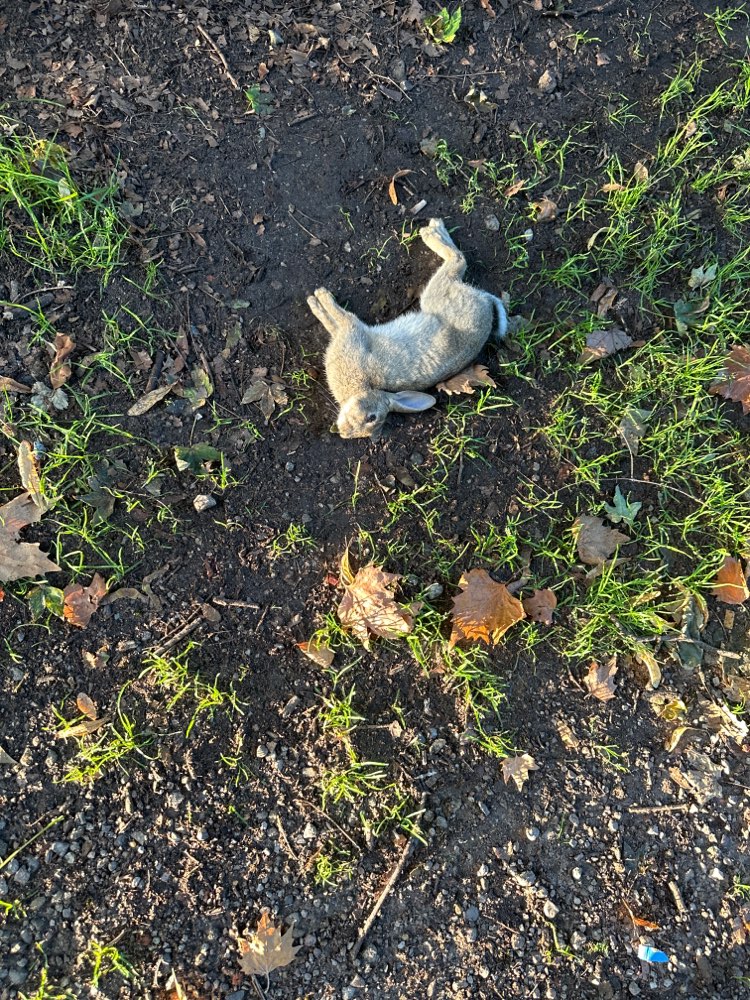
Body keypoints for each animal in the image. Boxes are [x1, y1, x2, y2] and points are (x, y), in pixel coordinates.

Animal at [306, 217, 507, 439]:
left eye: (371, 418)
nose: (344, 432)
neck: (363, 388)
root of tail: (486, 304)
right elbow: (332, 320)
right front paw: (317, 300)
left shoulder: (350, 333)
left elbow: (338, 318)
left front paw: (319, 298)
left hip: (438, 295)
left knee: (457, 260)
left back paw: (431, 233)